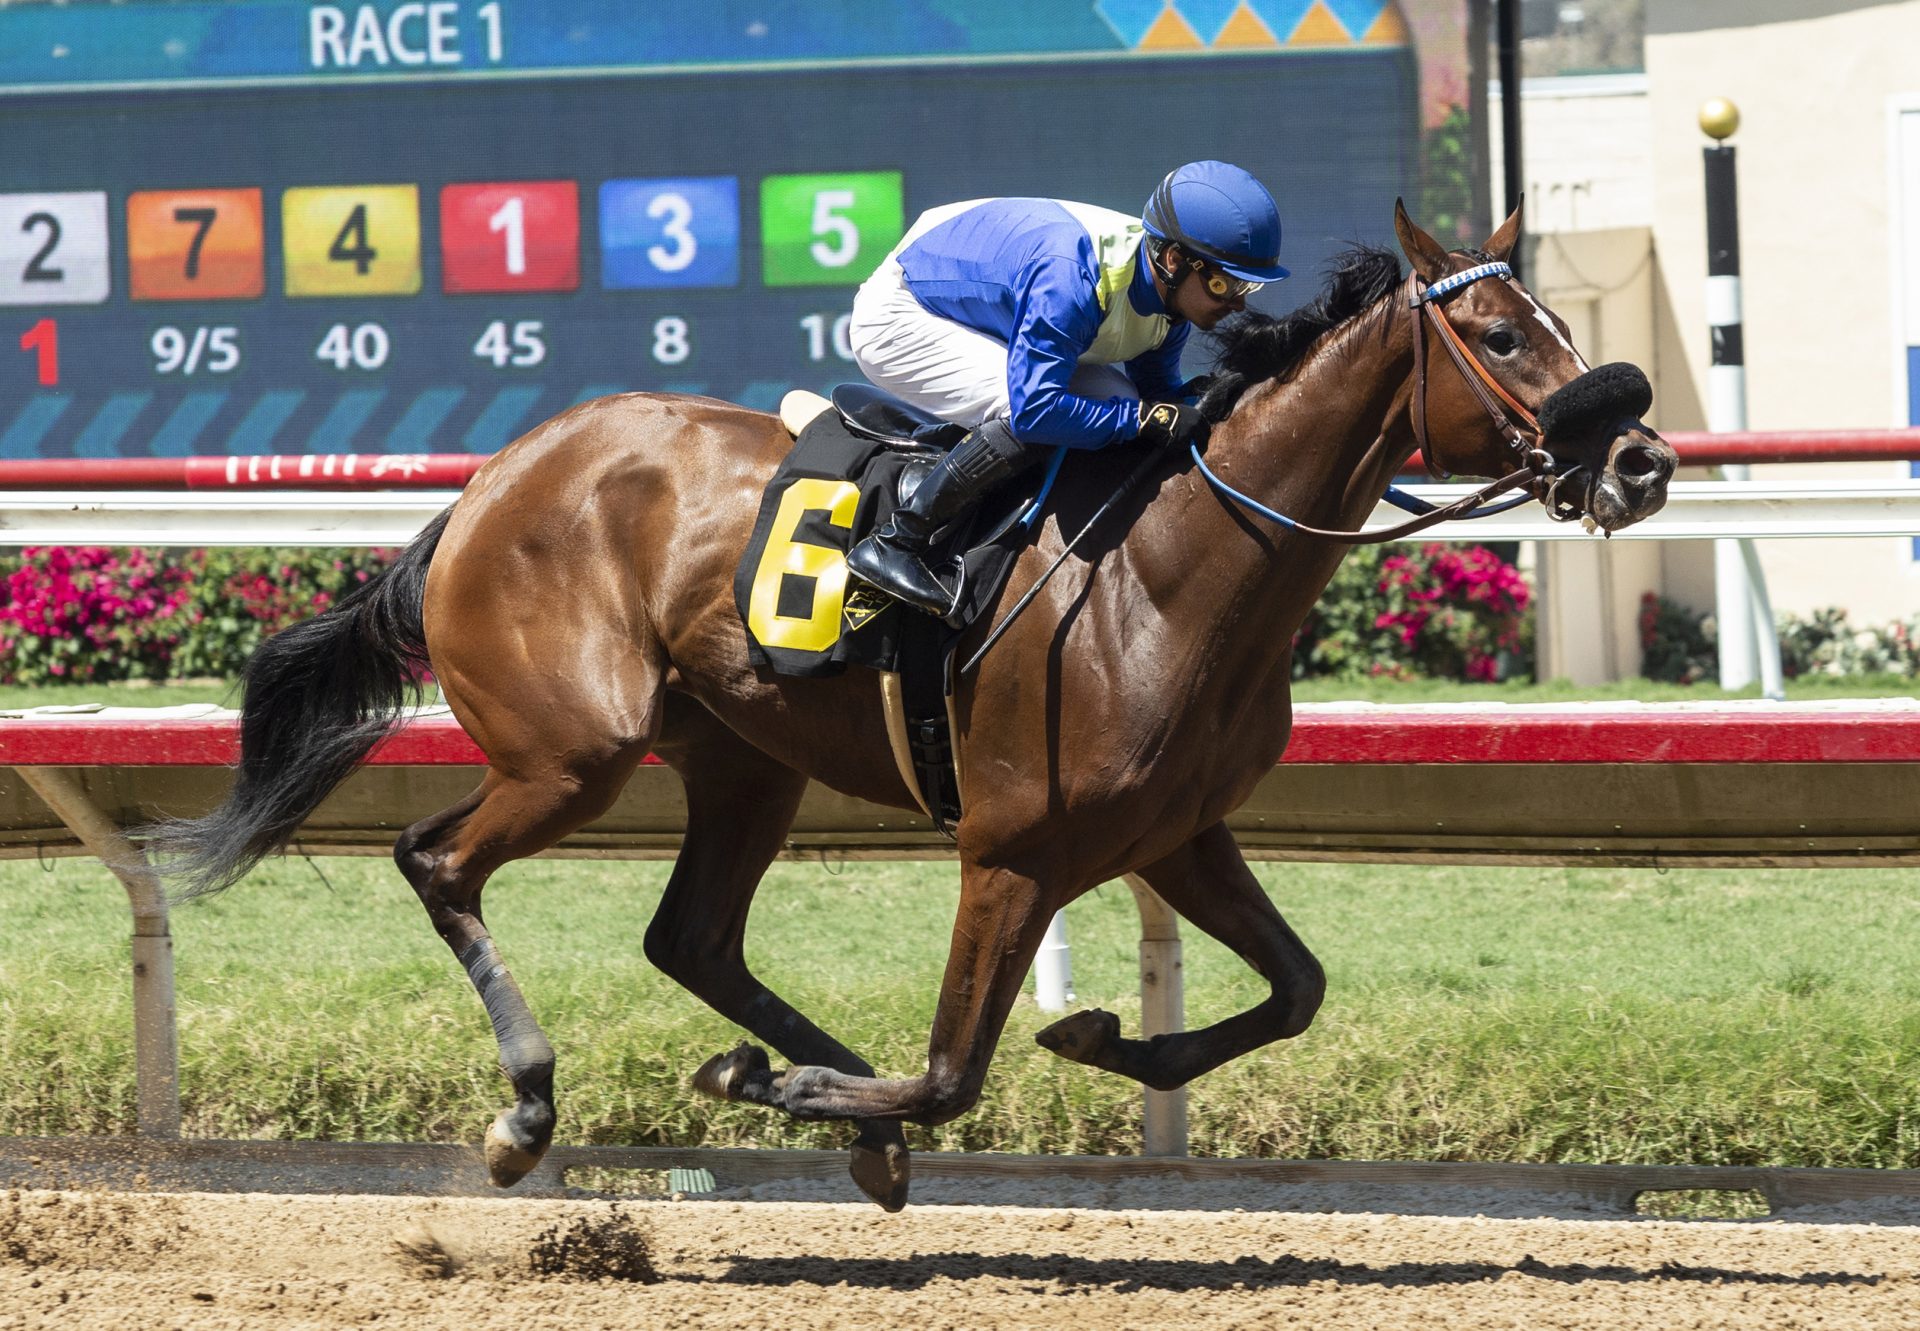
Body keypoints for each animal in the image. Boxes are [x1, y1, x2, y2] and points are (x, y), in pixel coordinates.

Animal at [153, 202, 1681, 1206]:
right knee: (439, 859)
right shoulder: (1011, 848)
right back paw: (535, 1104)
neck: (1174, 573)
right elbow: (953, 1068)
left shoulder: (1179, 833)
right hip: (573, 748)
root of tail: (490, 479)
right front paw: (775, 1088)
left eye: (1557, 321)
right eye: (1501, 331)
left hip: (745, 759)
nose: (1645, 460)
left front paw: (1098, 1034)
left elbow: (1294, 989)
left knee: (690, 935)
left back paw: (838, 1112)